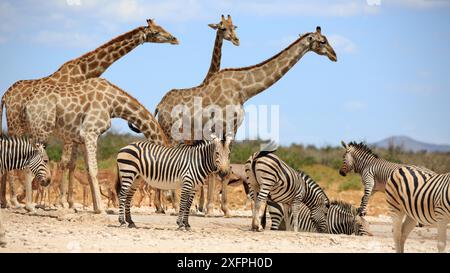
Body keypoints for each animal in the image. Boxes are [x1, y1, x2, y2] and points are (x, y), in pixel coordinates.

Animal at [18, 77, 169, 212]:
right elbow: (93, 169)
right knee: (30, 164)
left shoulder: (82, 137)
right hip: (41, 131)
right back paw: (29, 206)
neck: (113, 103)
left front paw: (95, 208)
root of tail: (26, 104)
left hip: (34, 132)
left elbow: (87, 170)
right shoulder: (90, 132)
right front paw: (101, 209)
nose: (163, 205)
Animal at [153, 25, 336, 215]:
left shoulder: (233, 127)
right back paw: (173, 206)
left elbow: (223, 166)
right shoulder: (223, 126)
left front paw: (219, 209)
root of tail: (160, 105)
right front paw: (214, 209)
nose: (334, 55)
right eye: (323, 41)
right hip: (173, 133)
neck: (244, 90)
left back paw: (166, 206)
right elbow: (219, 169)